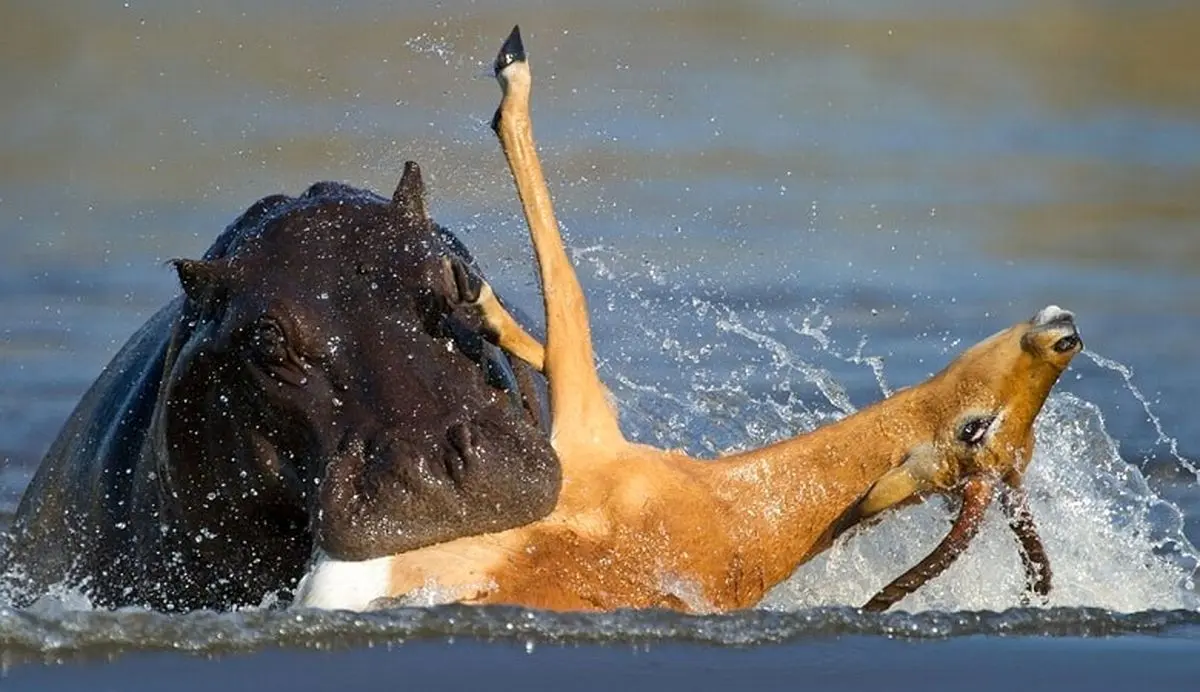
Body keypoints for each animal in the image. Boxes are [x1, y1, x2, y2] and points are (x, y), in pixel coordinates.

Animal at [295, 25, 1084, 609]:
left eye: (975, 428)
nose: (1064, 337)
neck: (728, 510)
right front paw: (484, 308)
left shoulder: (583, 424)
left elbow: (567, 293)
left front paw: (510, 70)